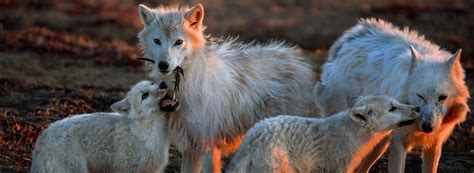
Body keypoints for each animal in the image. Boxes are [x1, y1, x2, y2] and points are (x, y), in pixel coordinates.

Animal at [137, 3, 318, 173]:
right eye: (157, 41)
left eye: (178, 42)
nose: (163, 65)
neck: (185, 87)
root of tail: (299, 63)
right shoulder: (190, 149)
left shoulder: (208, 147)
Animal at [228, 95, 420, 172]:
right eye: (392, 108)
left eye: (396, 103)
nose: (417, 108)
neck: (353, 135)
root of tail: (251, 143)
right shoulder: (340, 169)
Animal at [314, 18, 470, 172]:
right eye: (420, 96)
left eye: (442, 97)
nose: (427, 127)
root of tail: (349, 38)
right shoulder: (399, 144)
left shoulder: (434, 145)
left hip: (378, 145)